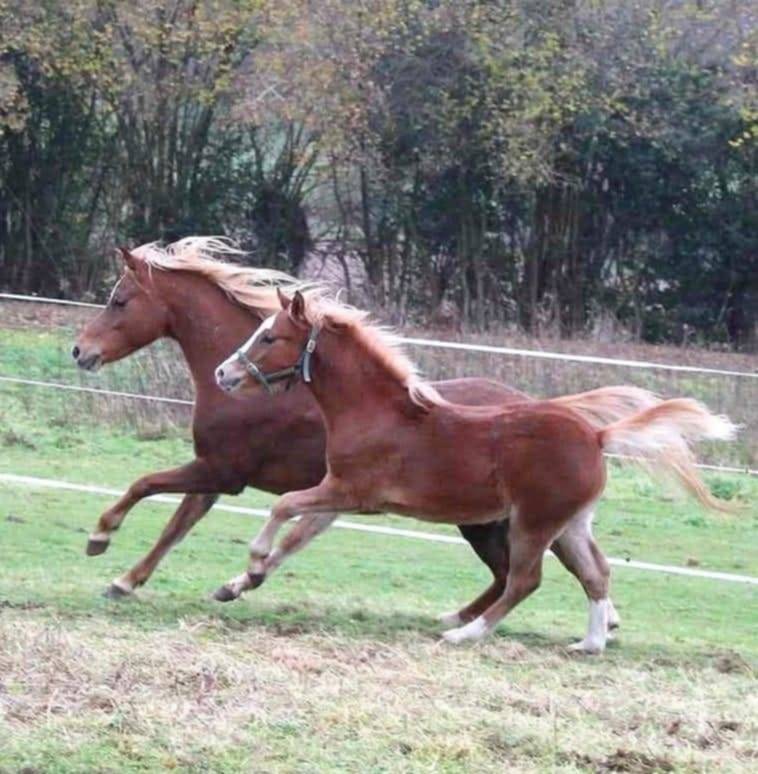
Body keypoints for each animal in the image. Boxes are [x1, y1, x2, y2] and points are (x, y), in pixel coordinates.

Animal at [73, 238, 655, 615]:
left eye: (119, 300)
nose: (80, 351)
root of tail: (571, 421)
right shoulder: (217, 475)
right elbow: (176, 525)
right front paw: (127, 581)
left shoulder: (220, 470)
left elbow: (144, 487)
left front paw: (101, 540)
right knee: (554, 567)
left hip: (488, 519)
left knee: (521, 572)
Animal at [214, 289, 735, 653]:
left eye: (269, 337)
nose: (223, 374)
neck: (377, 412)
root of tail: (596, 435)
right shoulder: (337, 496)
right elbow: (294, 538)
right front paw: (234, 585)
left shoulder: (349, 491)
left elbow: (283, 509)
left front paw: (252, 561)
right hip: (570, 524)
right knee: (595, 573)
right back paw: (589, 643)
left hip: (533, 522)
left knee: (524, 580)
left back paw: (464, 635)